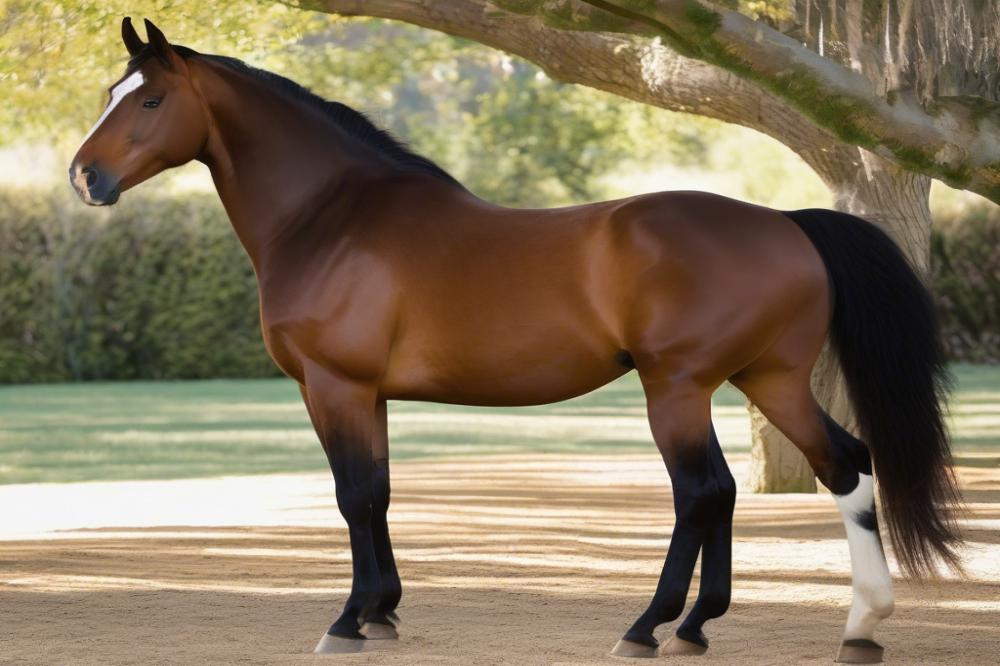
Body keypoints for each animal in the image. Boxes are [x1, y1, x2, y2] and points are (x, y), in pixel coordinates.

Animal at [70, 18, 961, 662]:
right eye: (113, 90)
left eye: (149, 101)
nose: (84, 177)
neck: (332, 217)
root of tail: (786, 223)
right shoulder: (369, 396)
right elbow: (380, 494)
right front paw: (384, 614)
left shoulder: (333, 386)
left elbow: (353, 496)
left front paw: (348, 622)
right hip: (762, 380)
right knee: (836, 466)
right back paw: (820, 626)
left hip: (677, 389)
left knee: (704, 492)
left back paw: (649, 627)